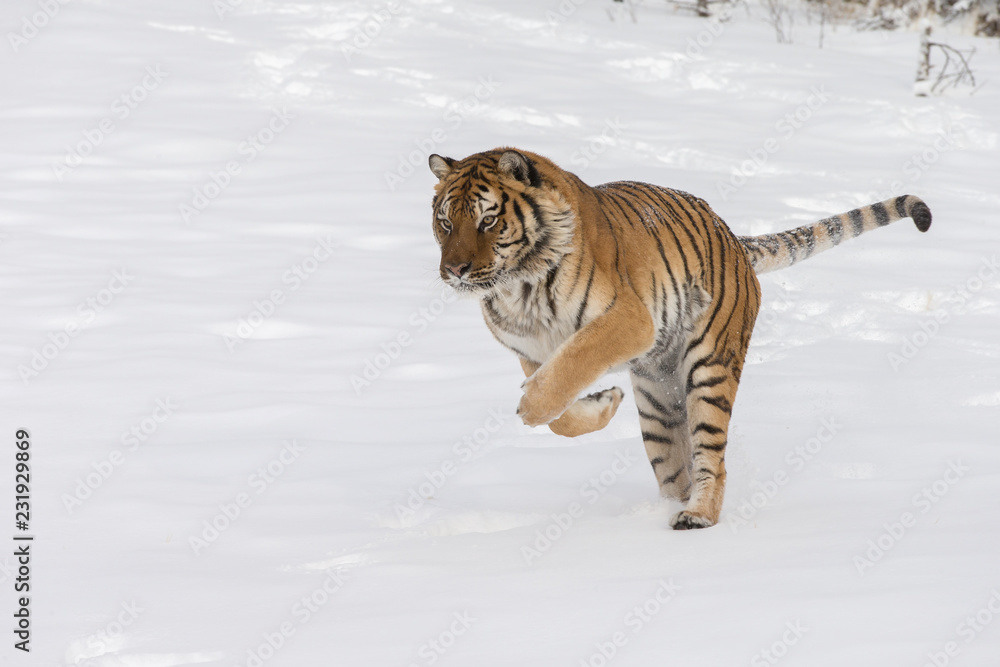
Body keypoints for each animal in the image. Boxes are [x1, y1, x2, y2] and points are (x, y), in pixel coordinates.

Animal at [427, 147, 931, 530]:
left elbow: (561, 378)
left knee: (712, 457)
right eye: (446, 223)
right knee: (674, 468)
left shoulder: (629, 319)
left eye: (488, 221)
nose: (454, 270)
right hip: (657, 397)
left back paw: (697, 517)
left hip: (709, 369)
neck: (519, 288)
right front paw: (603, 402)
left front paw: (534, 404)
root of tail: (733, 237)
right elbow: (558, 413)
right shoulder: (532, 352)